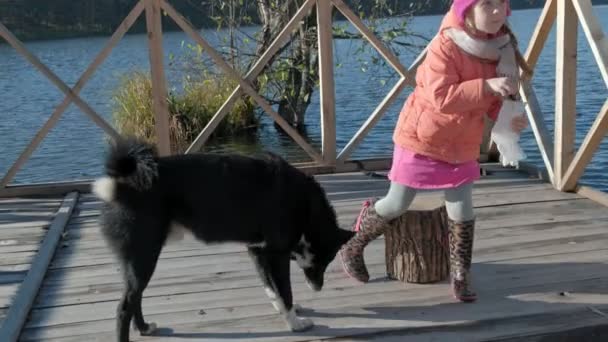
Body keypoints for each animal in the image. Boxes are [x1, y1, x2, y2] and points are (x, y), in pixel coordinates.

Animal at [92, 138, 354, 340]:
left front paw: (283, 309)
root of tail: (123, 184)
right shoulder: (276, 255)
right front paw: (295, 323)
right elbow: (285, 290)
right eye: (327, 260)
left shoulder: (257, 252)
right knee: (125, 306)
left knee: (135, 297)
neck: (304, 203)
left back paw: (145, 329)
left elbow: (272, 288)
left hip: (138, 260)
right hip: (145, 255)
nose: (318, 288)